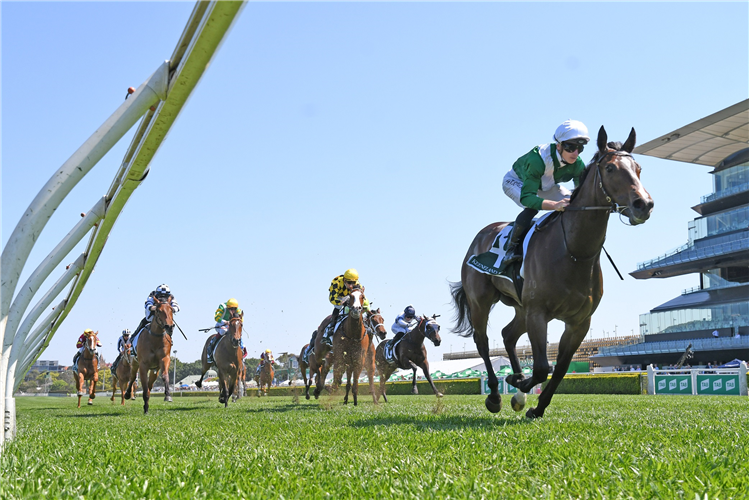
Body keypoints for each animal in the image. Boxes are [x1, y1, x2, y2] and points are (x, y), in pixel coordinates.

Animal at [450, 127, 656, 416]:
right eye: (611, 168)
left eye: (638, 168)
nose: (643, 205)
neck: (574, 252)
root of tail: (481, 236)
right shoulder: (539, 313)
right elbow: (540, 368)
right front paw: (518, 387)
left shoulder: (579, 322)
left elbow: (559, 369)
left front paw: (533, 404)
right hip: (481, 300)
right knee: (482, 341)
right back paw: (494, 395)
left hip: (520, 306)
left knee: (508, 335)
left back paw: (514, 381)